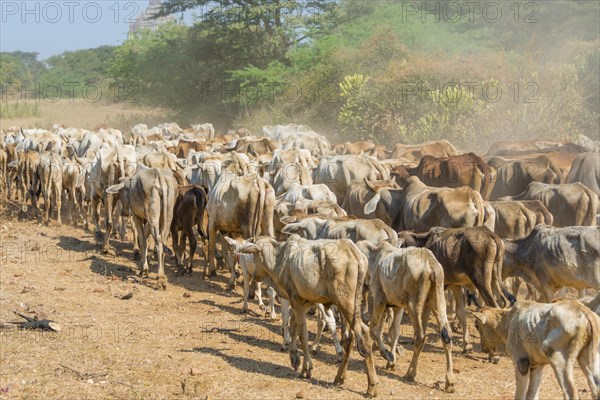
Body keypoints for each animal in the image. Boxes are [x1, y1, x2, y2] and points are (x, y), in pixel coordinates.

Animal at [231, 234, 380, 396]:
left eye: (254, 254)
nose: (254, 274)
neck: (280, 258)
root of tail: (354, 252)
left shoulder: (294, 298)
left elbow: (302, 333)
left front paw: (306, 367)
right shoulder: (305, 301)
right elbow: (294, 324)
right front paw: (294, 356)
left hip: (346, 304)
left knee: (362, 334)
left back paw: (371, 386)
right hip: (347, 306)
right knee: (350, 337)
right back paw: (339, 377)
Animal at [356, 241, 454, 394]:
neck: (375, 257)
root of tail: (431, 263)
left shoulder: (380, 299)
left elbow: (374, 330)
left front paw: (387, 355)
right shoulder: (396, 306)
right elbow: (393, 332)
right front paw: (391, 361)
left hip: (414, 306)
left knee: (420, 337)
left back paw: (410, 373)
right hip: (437, 302)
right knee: (446, 335)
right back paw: (449, 382)